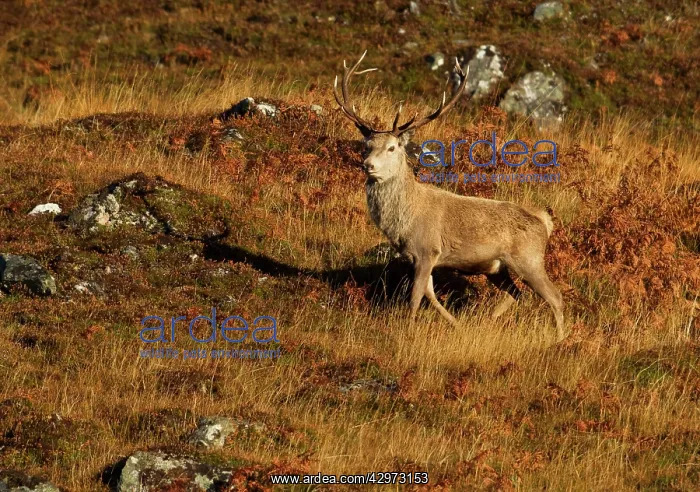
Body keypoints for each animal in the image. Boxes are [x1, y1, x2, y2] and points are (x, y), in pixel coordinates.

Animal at [333, 51, 566, 342]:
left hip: (530, 258)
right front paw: (455, 324)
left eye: (392, 147)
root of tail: (544, 220)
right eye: (367, 145)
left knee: (555, 297)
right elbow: (429, 293)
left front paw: (408, 331)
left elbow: (415, 296)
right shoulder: (418, 256)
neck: (404, 222)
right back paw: (486, 321)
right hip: (497, 268)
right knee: (516, 293)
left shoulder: (427, 249)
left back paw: (561, 341)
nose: (368, 165)